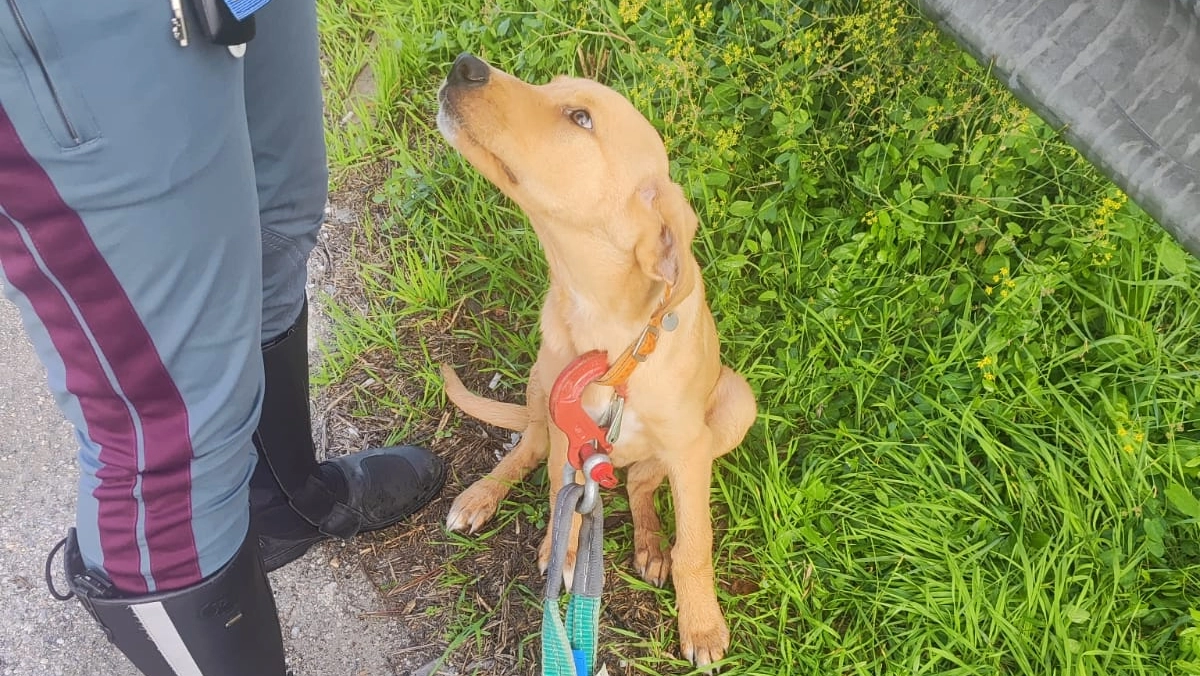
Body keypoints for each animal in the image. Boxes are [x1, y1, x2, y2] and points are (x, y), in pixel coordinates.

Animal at [436, 51, 753, 667]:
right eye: (550, 87)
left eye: (580, 118)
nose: (465, 64)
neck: (604, 331)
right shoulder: (569, 427)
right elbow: (562, 498)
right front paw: (561, 553)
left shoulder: (689, 448)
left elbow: (696, 543)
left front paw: (701, 624)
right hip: (539, 382)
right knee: (532, 446)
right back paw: (484, 494)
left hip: (734, 403)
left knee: (641, 481)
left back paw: (651, 544)